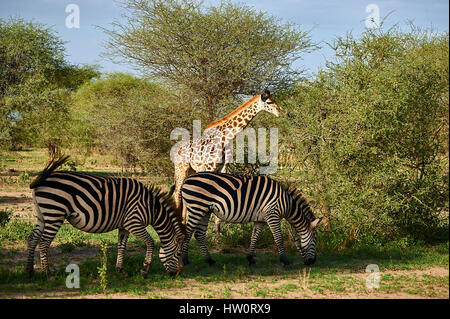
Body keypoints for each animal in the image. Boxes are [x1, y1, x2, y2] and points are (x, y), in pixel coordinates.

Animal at [26, 156, 185, 278]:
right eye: (178, 253)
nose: (177, 274)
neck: (151, 207)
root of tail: (43, 179)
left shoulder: (124, 226)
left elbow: (122, 246)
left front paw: (120, 270)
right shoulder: (134, 222)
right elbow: (150, 242)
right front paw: (145, 270)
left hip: (43, 215)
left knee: (32, 239)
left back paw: (30, 271)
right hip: (55, 214)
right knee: (44, 242)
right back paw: (47, 274)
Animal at [173, 91, 282, 234]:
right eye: (269, 102)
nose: (279, 112)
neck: (226, 138)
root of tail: (175, 150)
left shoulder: (223, 167)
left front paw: (218, 232)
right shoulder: (209, 167)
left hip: (191, 170)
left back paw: (184, 223)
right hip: (181, 169)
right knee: (177, 193)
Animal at [178, 174, 322, 268]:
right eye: (315, 239)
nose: (313, 262)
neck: (287, 204)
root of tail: (187, 179)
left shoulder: (261, 220)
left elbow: (254, 238)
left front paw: (251, 259)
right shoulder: (272, 214)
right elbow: (279, 238)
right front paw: (285, 261)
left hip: (205, 210)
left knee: (199, 234)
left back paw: (210, 261)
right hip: (197, 207)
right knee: (188, 233)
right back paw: (185, 260)